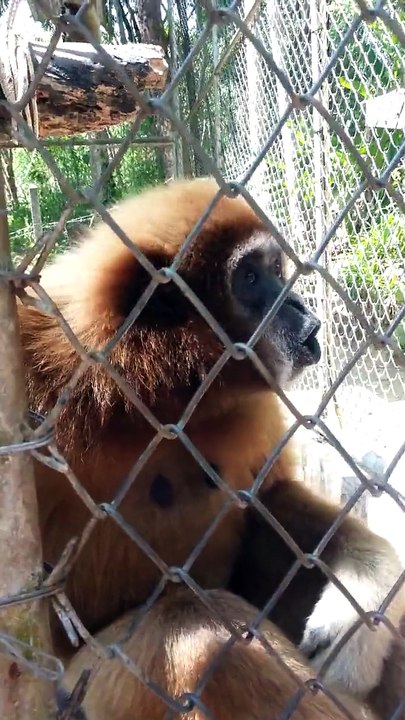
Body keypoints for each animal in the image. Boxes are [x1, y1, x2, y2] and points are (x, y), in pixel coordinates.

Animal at [17, 178, 404, 719]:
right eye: (249, 277)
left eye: (275, 272)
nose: (298, 305)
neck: (141, 399)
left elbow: (268, 500)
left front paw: (363, 601)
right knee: (194, 629)